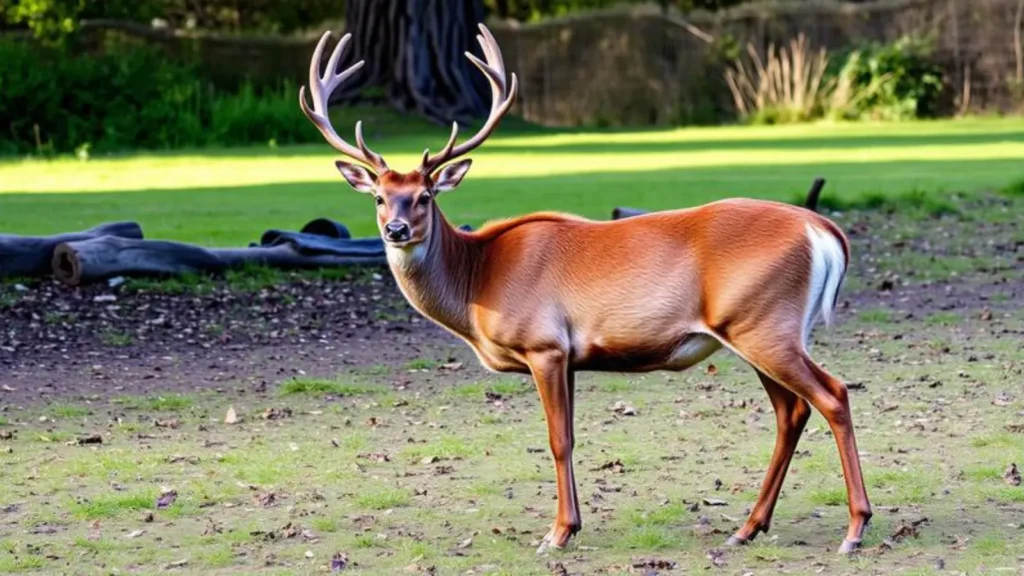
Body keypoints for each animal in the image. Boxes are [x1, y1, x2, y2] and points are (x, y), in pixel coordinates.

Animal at [299, 24, 872, 555]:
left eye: (424, 196)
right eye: (378, 197)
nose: (396, 230)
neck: (479, 278)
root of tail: (823, 229)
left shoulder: (544, 344)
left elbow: (558, 439)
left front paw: (556, 534)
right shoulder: (571, 356)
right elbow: (571, 437)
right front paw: (570, 526)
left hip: (763, 323)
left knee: (832, 394)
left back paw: (854, 529)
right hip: (753, 328)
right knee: (791, 411)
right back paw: (747, 528)